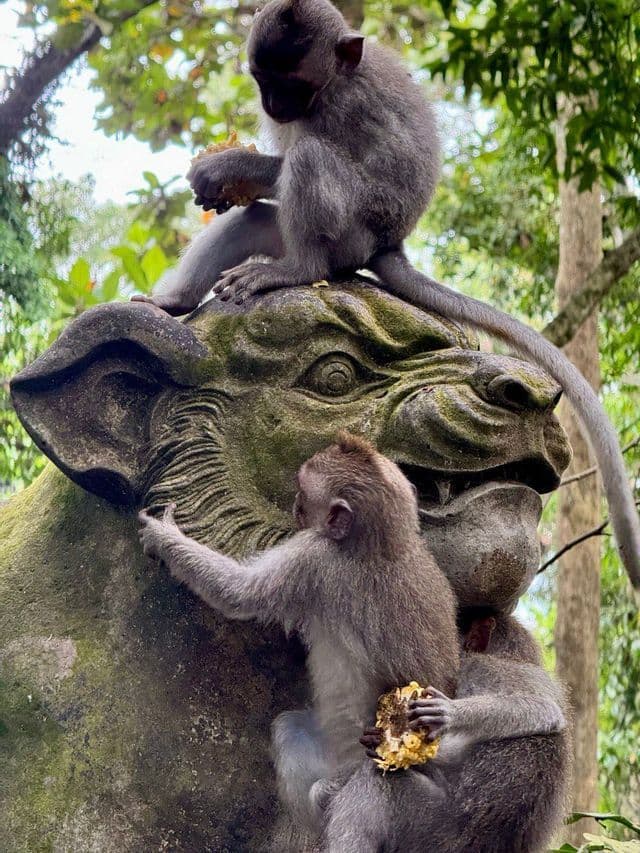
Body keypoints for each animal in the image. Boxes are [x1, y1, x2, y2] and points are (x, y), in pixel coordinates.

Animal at [131, 0, 640, 590]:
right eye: (262, 80)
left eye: (293, 83)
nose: (273, 106)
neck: (333, 85)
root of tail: (386, 245)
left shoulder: (348, 107)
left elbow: (324, 160)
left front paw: (227, 166)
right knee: (258, 219)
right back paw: (175, 302)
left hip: (351, 233)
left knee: (310, 160)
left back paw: (295, 270)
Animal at [137, 433, 462, 850]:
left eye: (303, 494)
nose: (293, 505)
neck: (384, 544)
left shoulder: (312, 557)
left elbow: (239, 594)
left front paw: (164, 537)